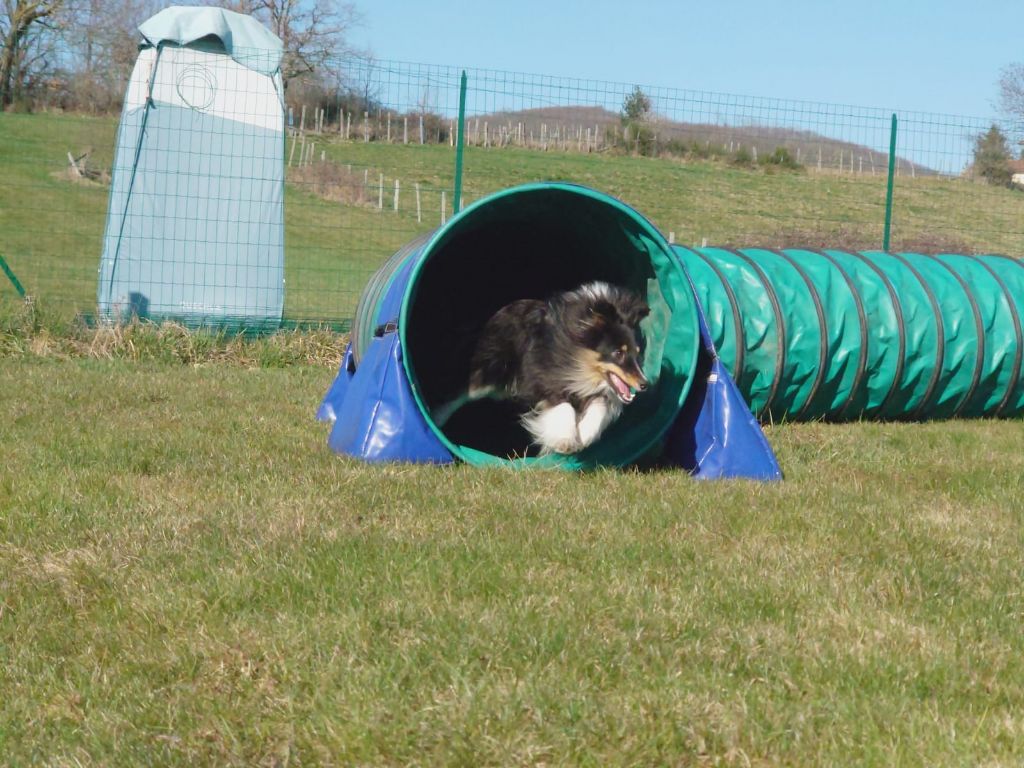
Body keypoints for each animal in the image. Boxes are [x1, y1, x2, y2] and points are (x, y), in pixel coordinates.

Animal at [432, 280, 647, 454]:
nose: (644, 384)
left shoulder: (594, 391)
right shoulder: (546, 380)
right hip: (490, 373)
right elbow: (564, 407)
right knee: (461, 394)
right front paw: (565, 440)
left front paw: (585, 435)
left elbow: (599, 406)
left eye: (637, 352)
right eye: (618, 353)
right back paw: (436, 420)